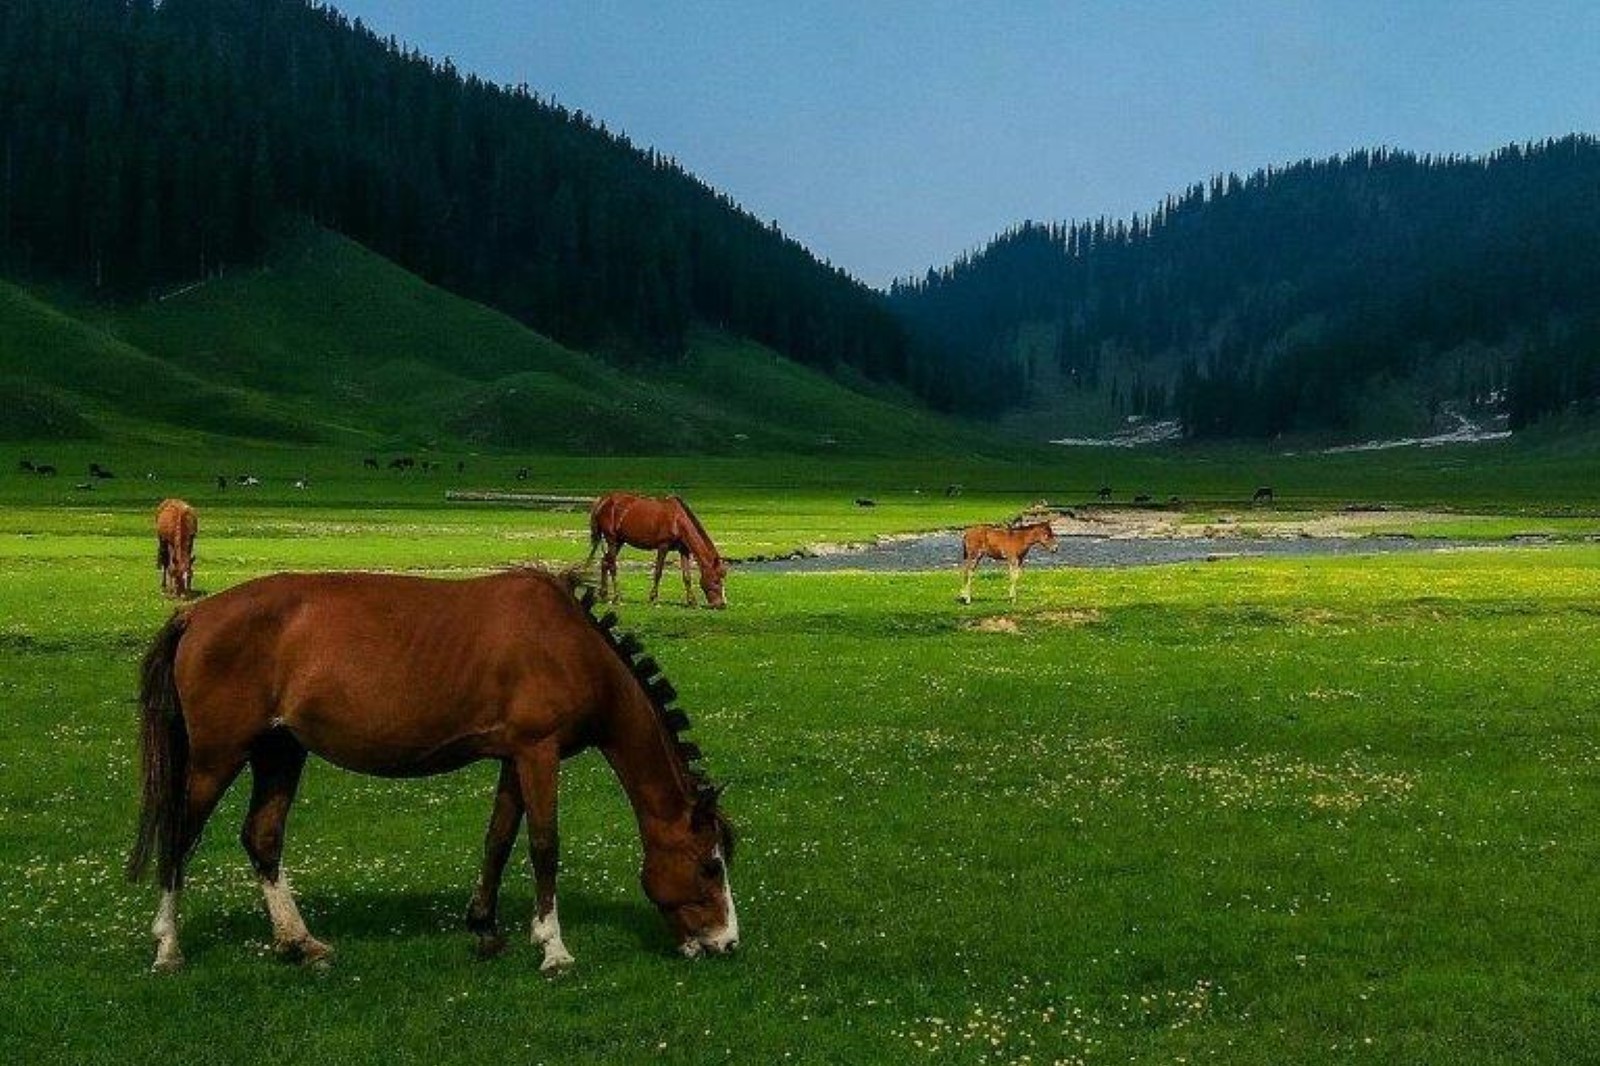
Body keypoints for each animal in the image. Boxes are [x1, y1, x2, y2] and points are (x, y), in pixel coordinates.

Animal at [124, 569, 736, 966]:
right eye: (710, 866)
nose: (726, 942)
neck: (571, 646)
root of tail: (195, 613)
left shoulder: (515, 756)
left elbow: (498, 839)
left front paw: (486, 928)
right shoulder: (538, 752)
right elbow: (544, 845)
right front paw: (553, 946)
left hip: (279, 752)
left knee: (262, 837)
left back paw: (299, 942)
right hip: (216, 758)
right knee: (179, 836)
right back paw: (169, 947)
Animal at [588, 489, 732, 605]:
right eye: (716, 580)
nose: (722, 604)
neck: (678, 521)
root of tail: (603, 500)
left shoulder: (683, 550)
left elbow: (687, 576)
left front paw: (691, 601)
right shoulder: (663, 546)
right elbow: (658, 571)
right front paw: (653, 598)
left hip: (619, 541)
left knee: (605, 562)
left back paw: (604, 595)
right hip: (612, 539)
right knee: (612, 565)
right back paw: (617, 597)